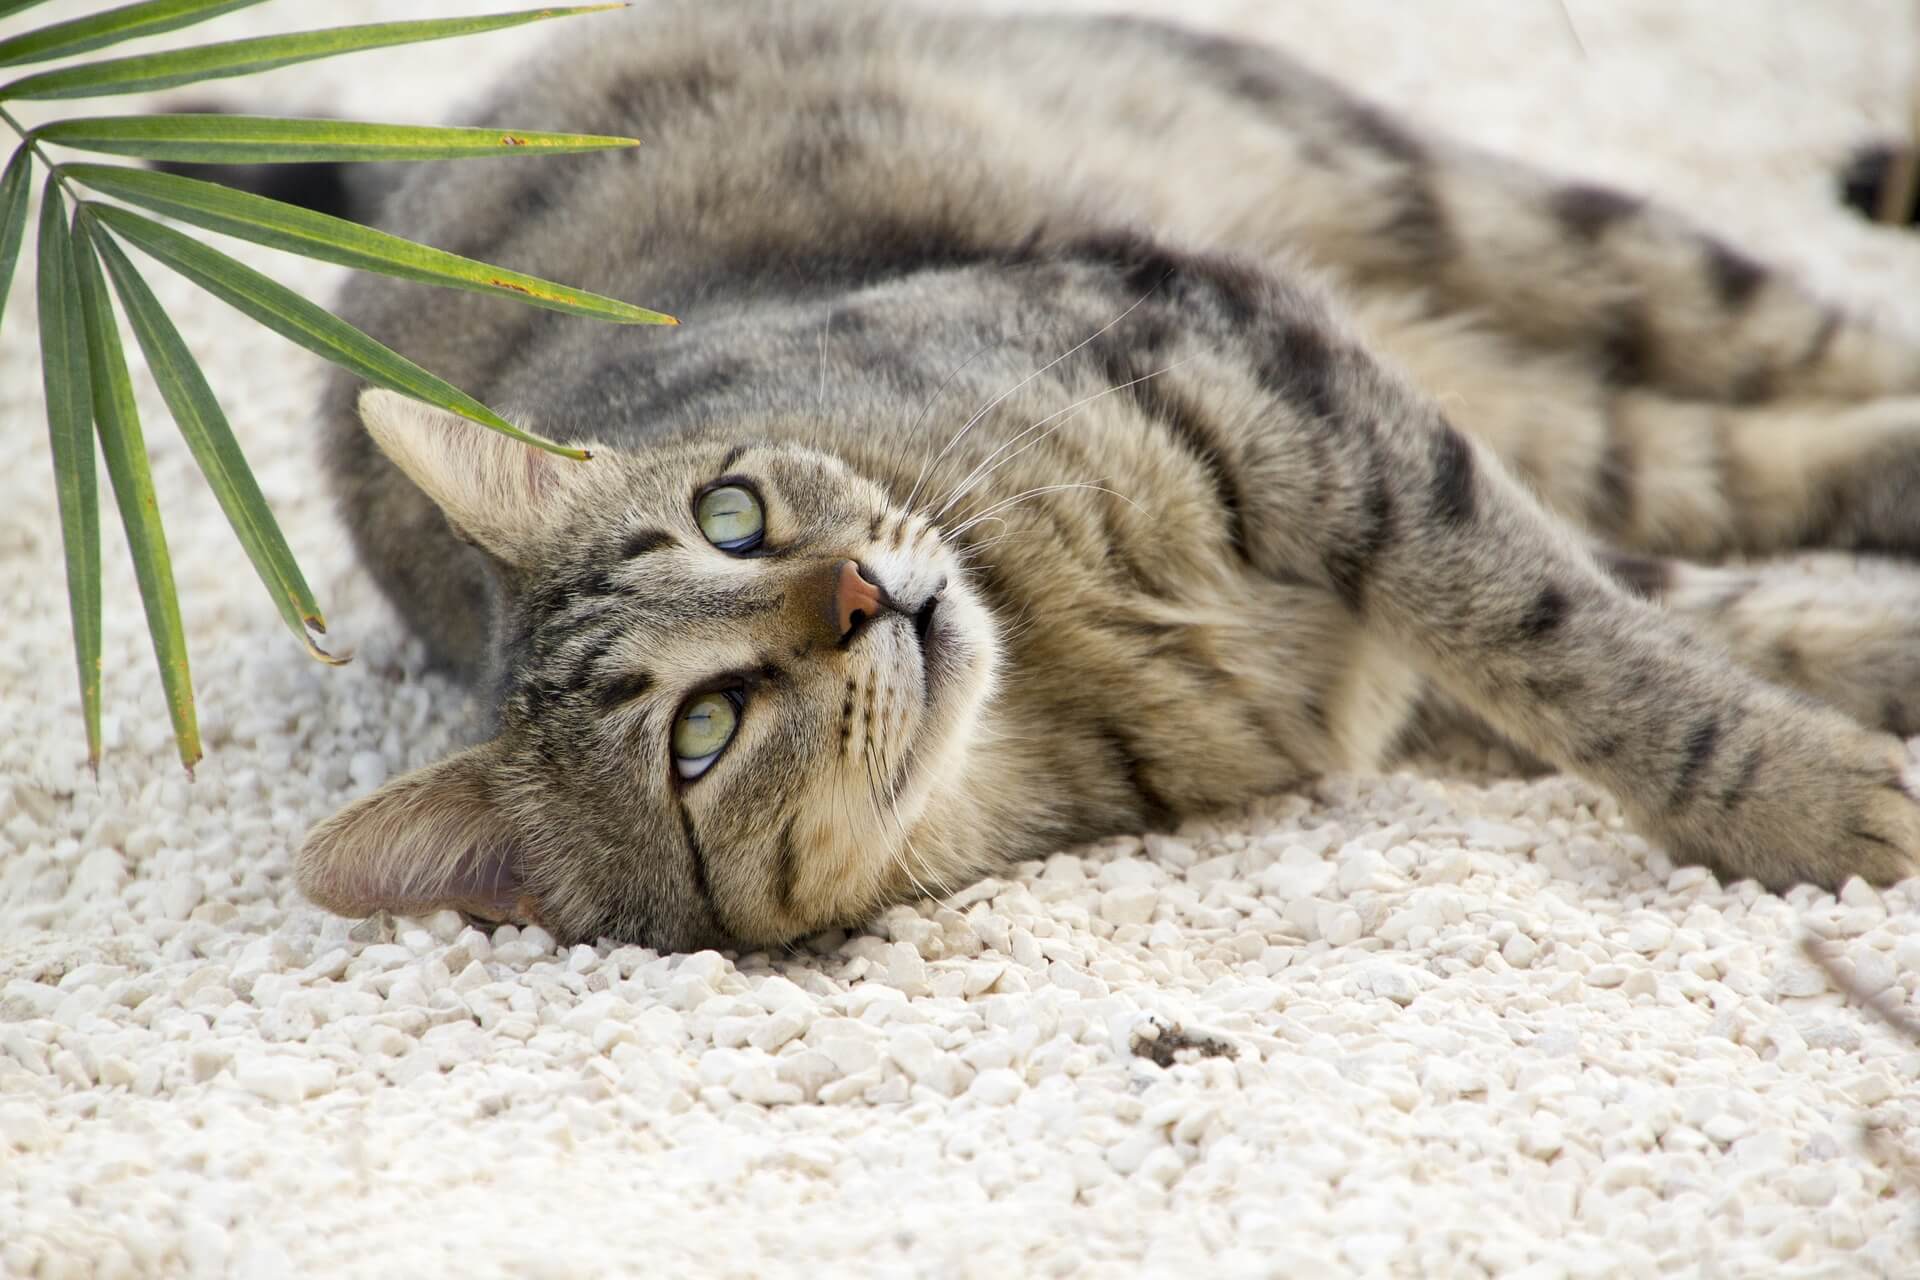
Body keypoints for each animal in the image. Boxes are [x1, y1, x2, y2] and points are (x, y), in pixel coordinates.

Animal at [291, 0, 1920, 951]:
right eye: (702, 734)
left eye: (731, 515)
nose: (861, 591)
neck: (1065, 643)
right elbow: (1671, 620)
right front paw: (1845, 756)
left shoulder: (1285, 385)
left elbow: (1584, 649)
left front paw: (1808, 792)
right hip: (1525, 376)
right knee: (1713, 461)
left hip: (1490, 220)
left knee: (1807, 339)